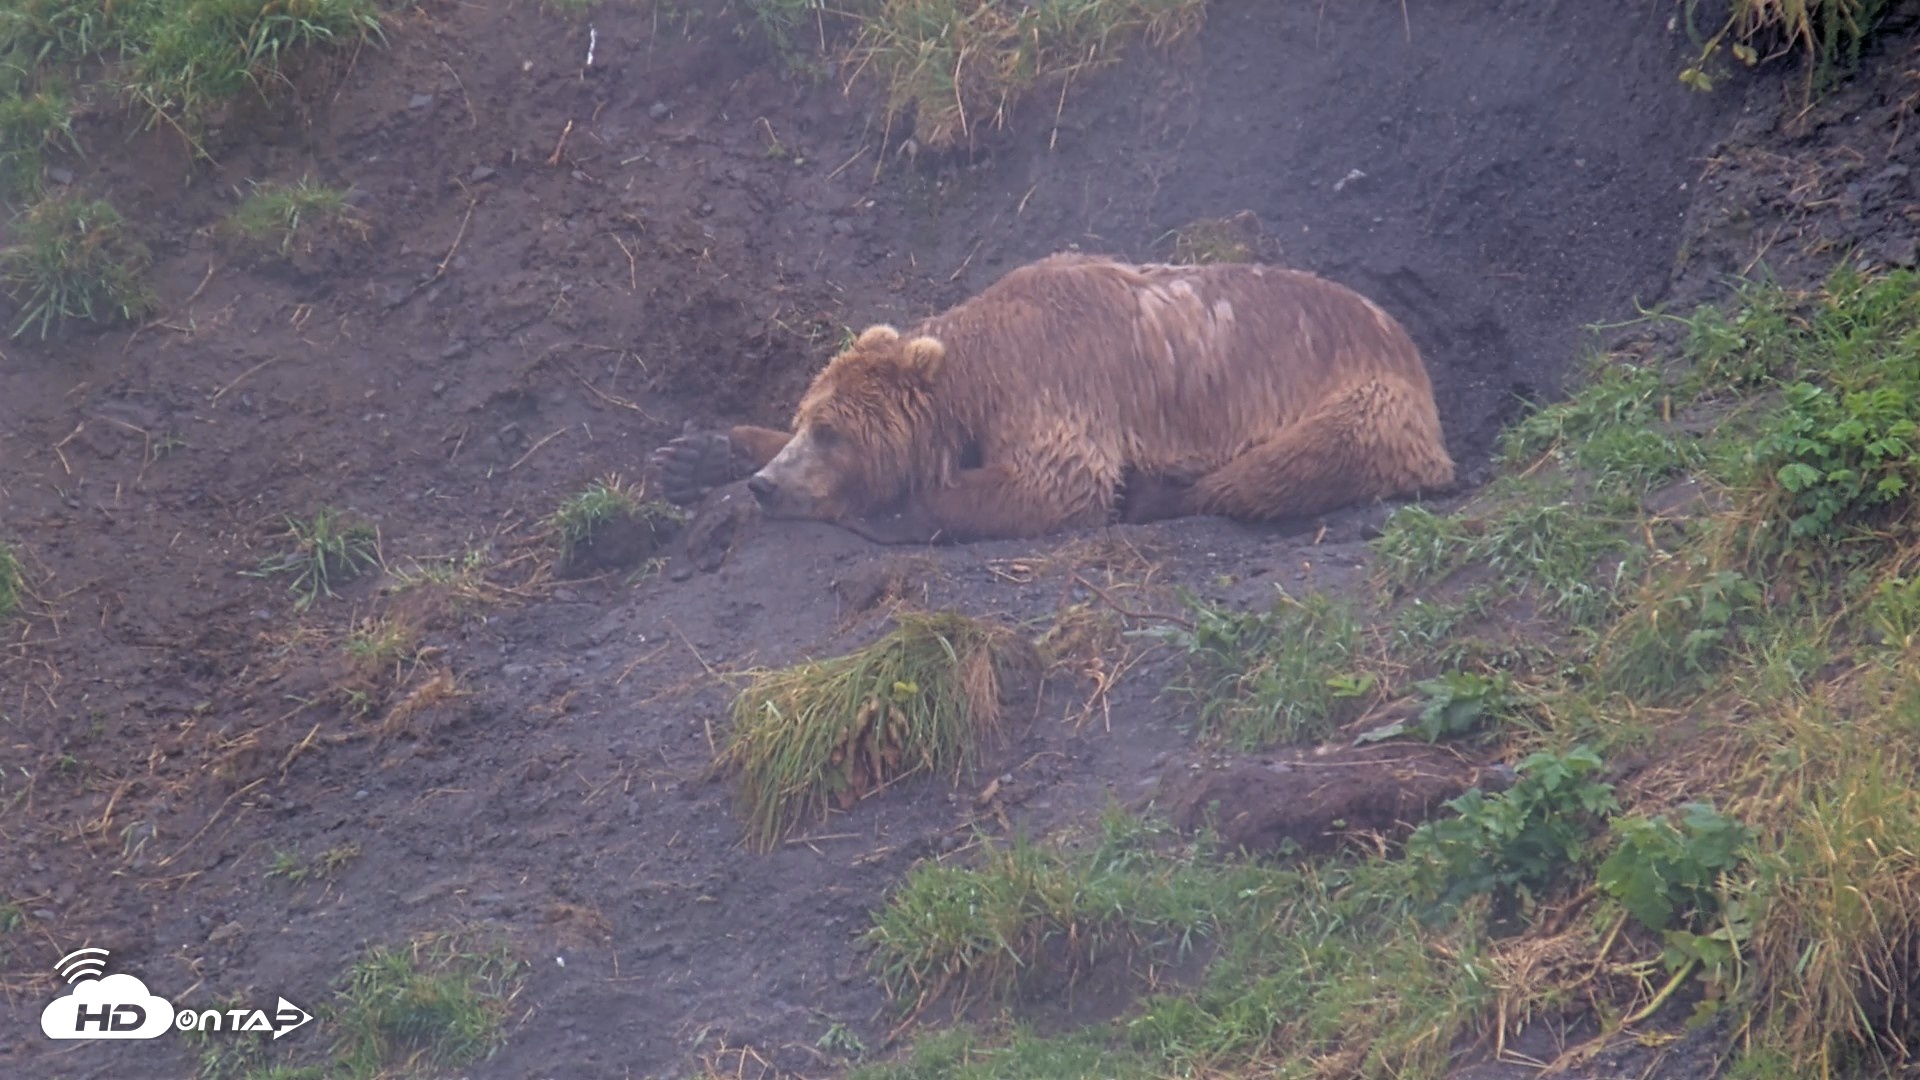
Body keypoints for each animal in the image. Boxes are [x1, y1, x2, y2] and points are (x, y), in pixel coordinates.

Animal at [649, 252, 1456, 545]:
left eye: (830, 434)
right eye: (804, 420)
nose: (767, 486)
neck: (971, 385)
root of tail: (1405, 337)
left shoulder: (1056, 380)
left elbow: (1056, 482)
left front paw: (886, 505)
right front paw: (697, 453)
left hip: (1361, 396)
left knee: (1290, 462)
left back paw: (1164, 492)